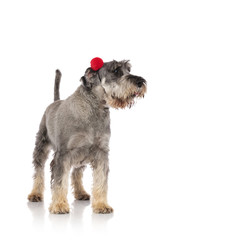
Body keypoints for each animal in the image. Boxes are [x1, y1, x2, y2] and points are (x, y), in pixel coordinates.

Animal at [26, 58, 146, 214]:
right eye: (115, 70)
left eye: (128, 70)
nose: (140, 82)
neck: (94, 109)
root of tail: (54, 102)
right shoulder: (63, 154)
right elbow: (59, 181)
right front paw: (59, 205)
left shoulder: (101, 152)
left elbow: (101, 180)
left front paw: (101, 205)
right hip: (41, 146)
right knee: (39, 170)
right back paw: (35, 194)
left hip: (81, 156)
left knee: (76, 173)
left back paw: (81, 192)